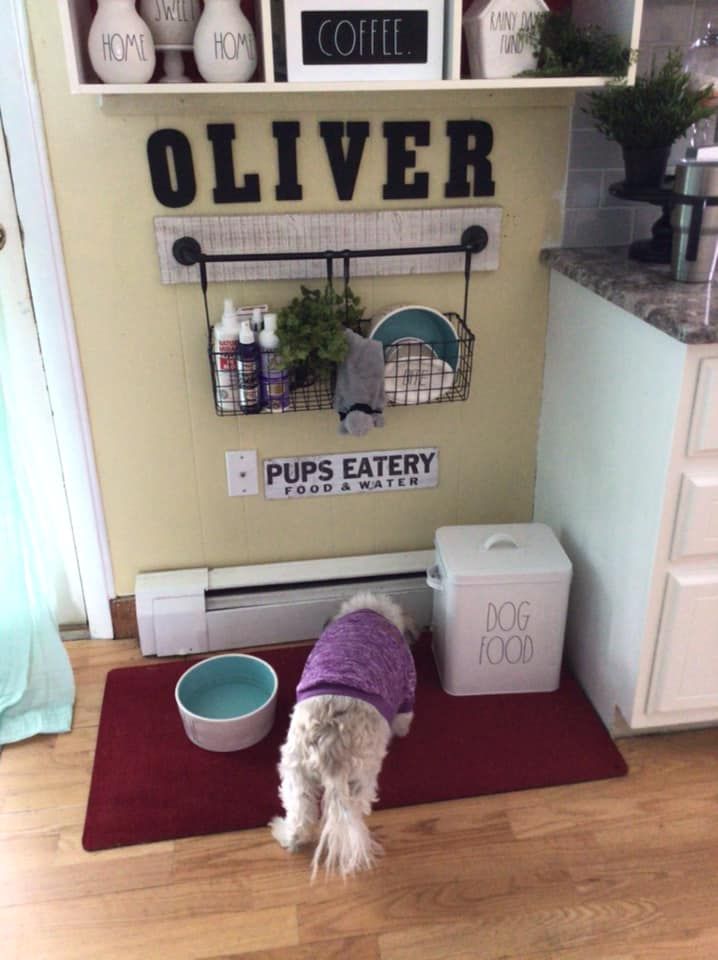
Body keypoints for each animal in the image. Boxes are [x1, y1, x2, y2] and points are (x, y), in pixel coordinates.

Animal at [270, 592, 416, 876]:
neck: (371, 612)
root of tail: (329, 742)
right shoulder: (407, 687)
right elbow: (403, 718)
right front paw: (402, 730)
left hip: (295, 769)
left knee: (300, 814)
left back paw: (288, 836)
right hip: (361, 776)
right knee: (357, 806)